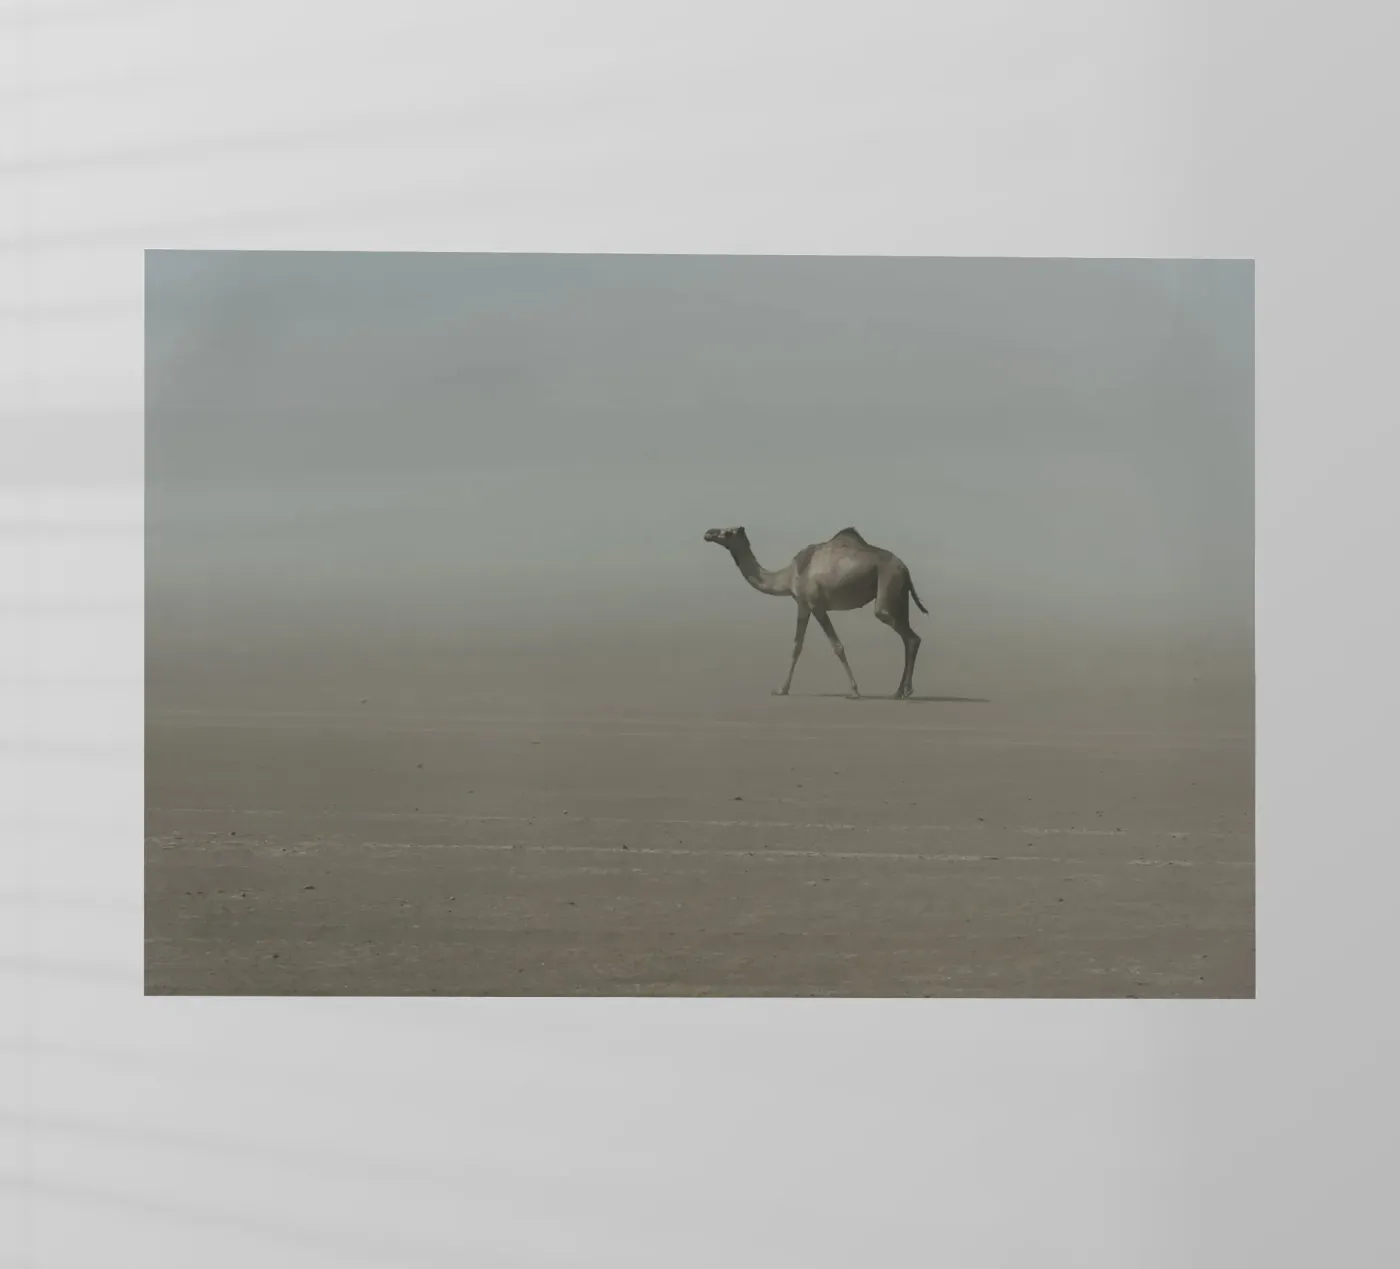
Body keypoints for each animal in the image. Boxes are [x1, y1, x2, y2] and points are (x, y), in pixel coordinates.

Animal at [703, 525, 929, 699]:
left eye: (728, 532)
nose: (708, 533)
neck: (787, 576)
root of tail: (906, 570)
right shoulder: (802, 605)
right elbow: (797, 646)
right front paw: (781, 689)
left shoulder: (815, 604)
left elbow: (837, 646)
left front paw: (854, 692)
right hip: (900, 595)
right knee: (908, 637)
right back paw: (898, 691)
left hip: (888, 586)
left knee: (908, 635)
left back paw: (906, 690)